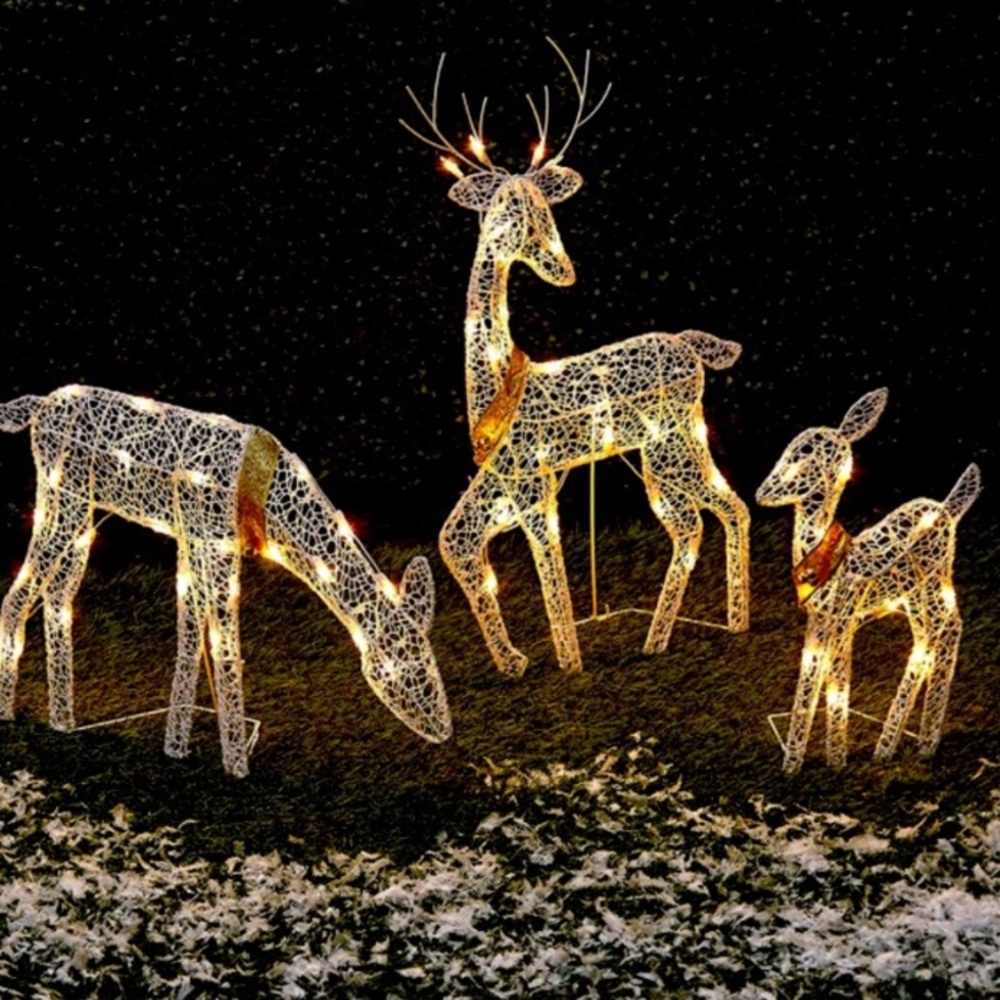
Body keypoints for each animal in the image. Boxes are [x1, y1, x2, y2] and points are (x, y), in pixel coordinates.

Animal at [0, 385, 452, 777]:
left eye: (430, 661)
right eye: (397, 666)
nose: (442, 729)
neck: (272, 504)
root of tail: (40, 406)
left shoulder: (191, 541)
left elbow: (190, 639)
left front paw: (176, 748)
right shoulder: (216, 543)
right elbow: (224, 646)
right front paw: (236, 767)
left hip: (83, 514)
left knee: (58, 595)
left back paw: (63, 720)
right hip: (64, 498)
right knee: (18, 594)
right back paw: (9, 713)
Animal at [401, 40, 751, 676]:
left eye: (547, 207)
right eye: (506, 208)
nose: (562, 268)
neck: (493, 383)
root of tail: (693, 346)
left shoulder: (534, 483)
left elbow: (548, 563)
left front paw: (568, 660)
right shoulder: (502, 488)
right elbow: (454, 544)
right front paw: (513, 661)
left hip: (668, 449)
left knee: (699, 521)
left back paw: (662, 637)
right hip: (677, 446)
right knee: (723, 511)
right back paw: (722, 623)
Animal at [756, 388, 981, 774]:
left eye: (805, 455)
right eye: (788, 448)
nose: (763, 493)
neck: (831, 561)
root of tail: (949, 509)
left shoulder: (843, 621)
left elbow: (837, 681)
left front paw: (834, 761)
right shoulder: (820, 621)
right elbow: (810, 674)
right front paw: (793, 762)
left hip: (935, 586)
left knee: (948, 630)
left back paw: (917, 743)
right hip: (913, 600)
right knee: (927, 639)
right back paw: (894, 746)